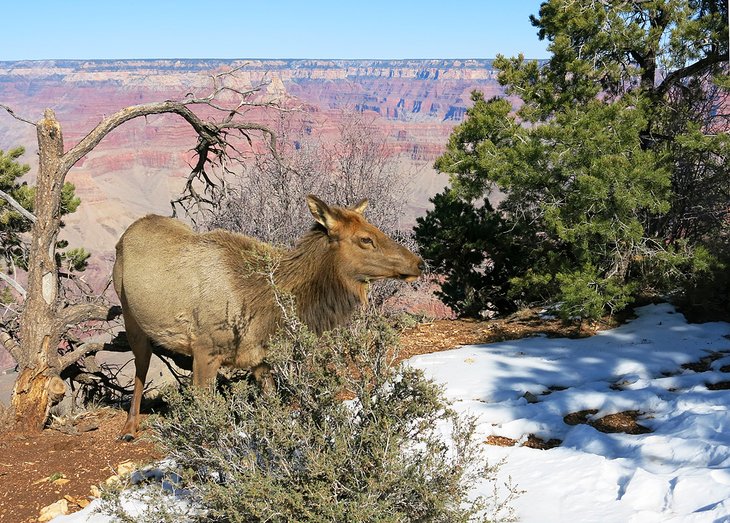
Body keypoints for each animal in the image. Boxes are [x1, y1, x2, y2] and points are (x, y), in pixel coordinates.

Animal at [112, 194, 420, 440]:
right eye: (366, 239)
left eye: (375, 229)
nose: (418, 262)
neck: (263, 305)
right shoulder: (205, 349)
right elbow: (205, 412)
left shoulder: (260, 356)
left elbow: (273, 402)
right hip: (130, 314)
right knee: (141, 365)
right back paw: (129, 428)